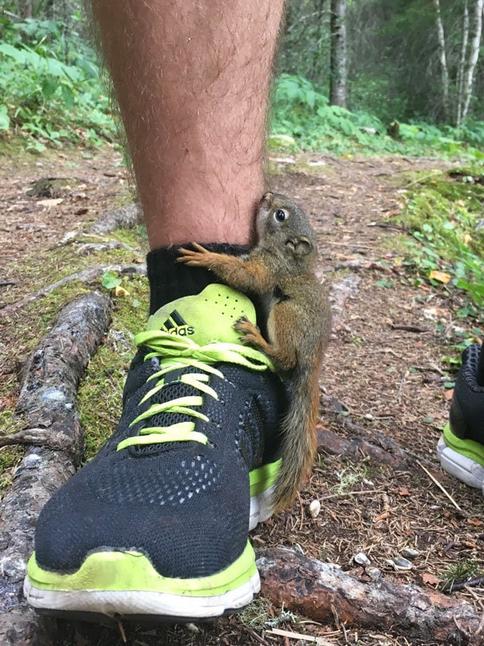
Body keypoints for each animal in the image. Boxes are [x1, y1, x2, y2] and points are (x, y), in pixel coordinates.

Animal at [178, 192, 332, 512]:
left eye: (280, 215)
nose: (267, 196)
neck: (286, 256)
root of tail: (313, 359)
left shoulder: (268, 268)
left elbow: (247, 276)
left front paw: (207, 257)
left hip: (286, 314)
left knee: (287, 359)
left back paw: (258, 339)